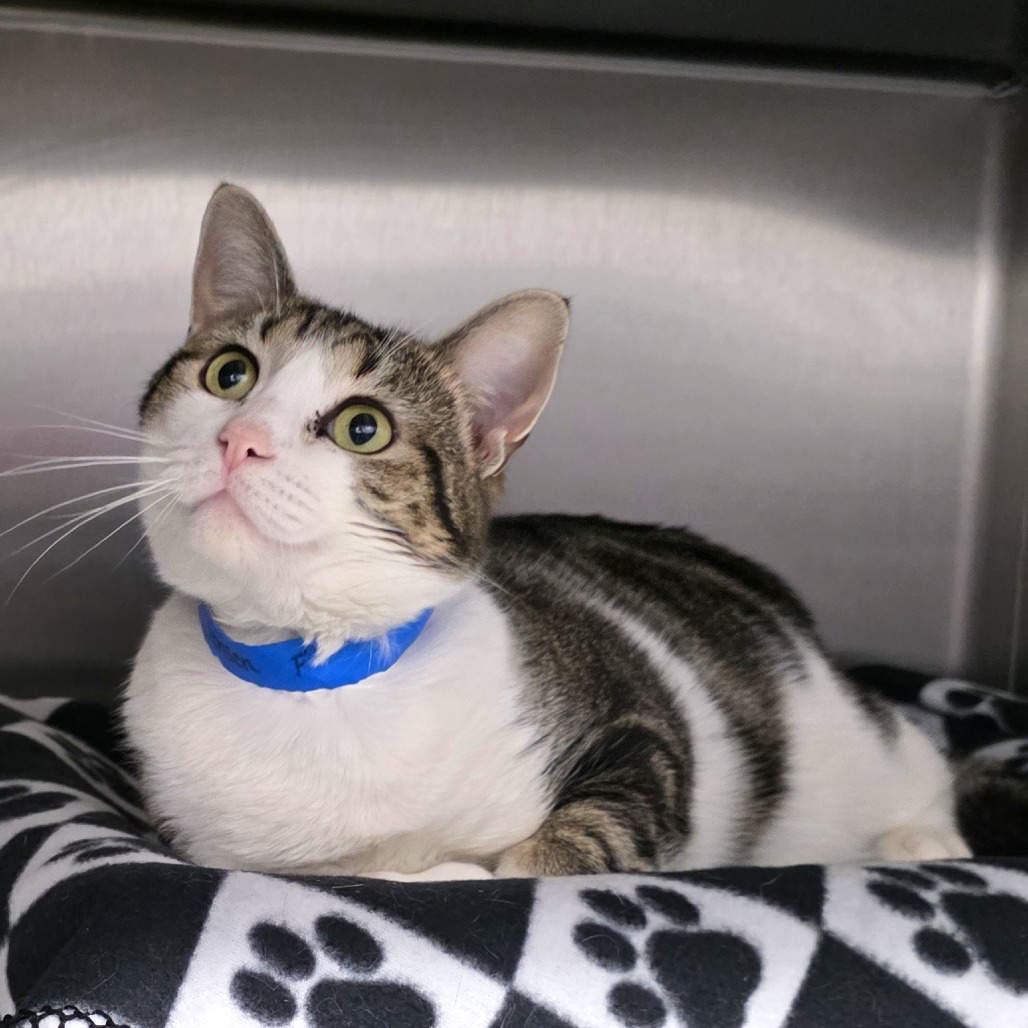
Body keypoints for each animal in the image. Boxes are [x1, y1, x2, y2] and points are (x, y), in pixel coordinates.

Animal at [122, 183, 971, 881]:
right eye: (230, 374)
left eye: (364, 428)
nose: (241, 440)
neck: (309, 674)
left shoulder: (643, 732)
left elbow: (566, 843)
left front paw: (485, 863)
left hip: (845, 731)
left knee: (918, 757)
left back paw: (922, 840)